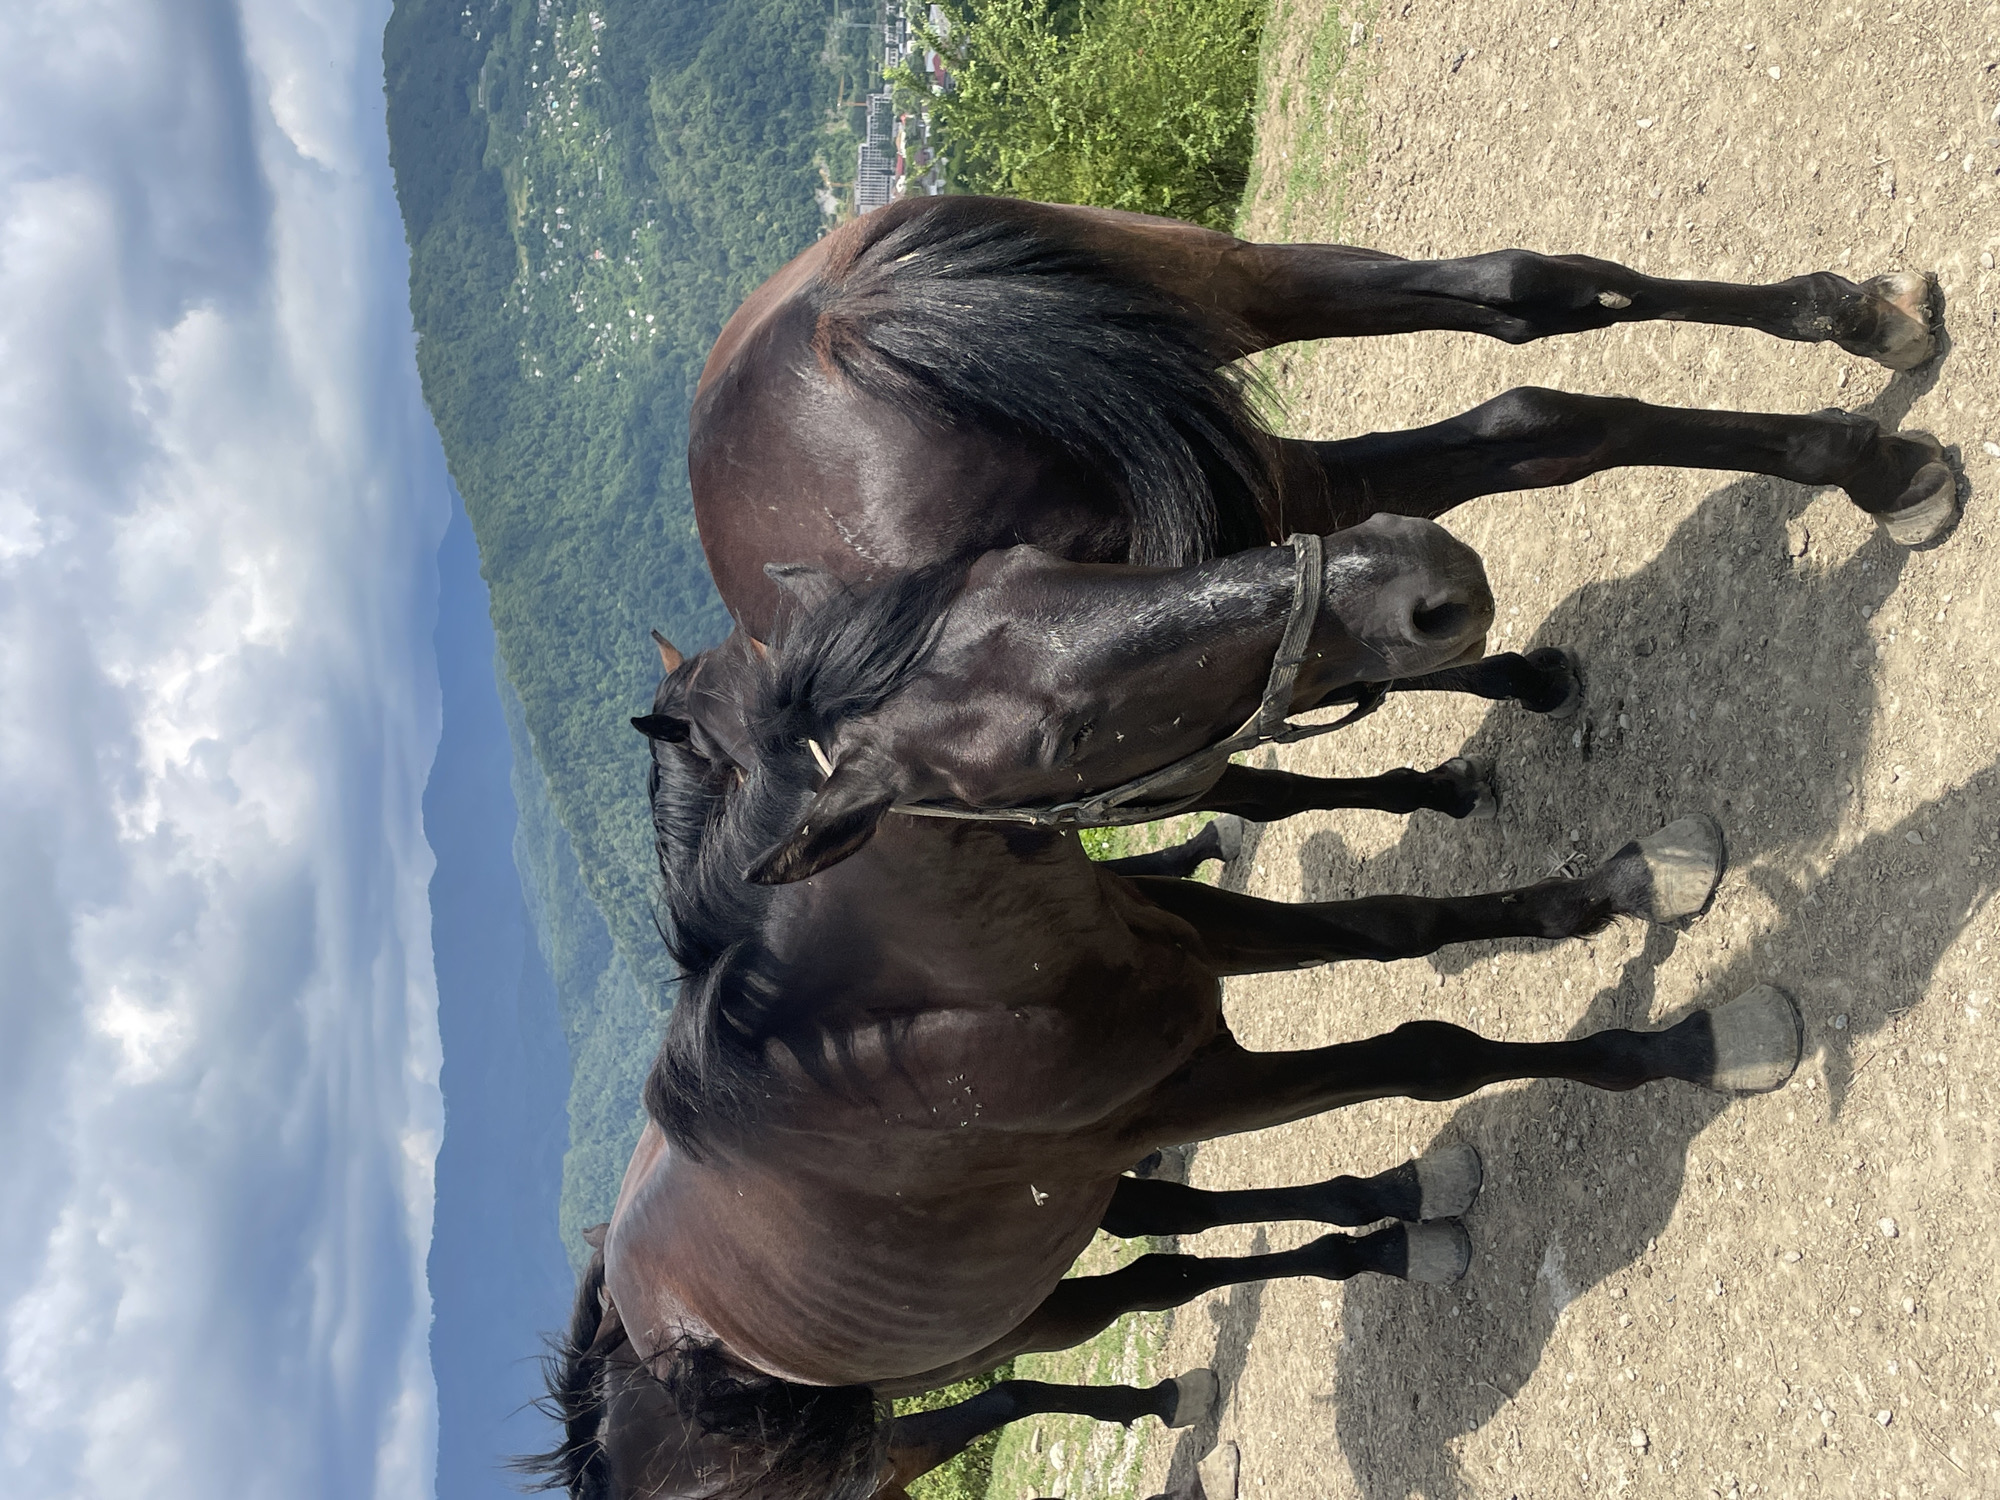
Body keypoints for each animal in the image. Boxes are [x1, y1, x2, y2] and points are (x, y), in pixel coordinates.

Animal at [528, 195, 1945, 1497]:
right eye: (1054, 736)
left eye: (1040, 568)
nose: (1417, 578)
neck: (930, 1012)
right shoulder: (1183, 1064)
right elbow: (1419, 1030)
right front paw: (1683, 1014)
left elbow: (1383, 919)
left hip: (1214, 308)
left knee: (1513, 331)